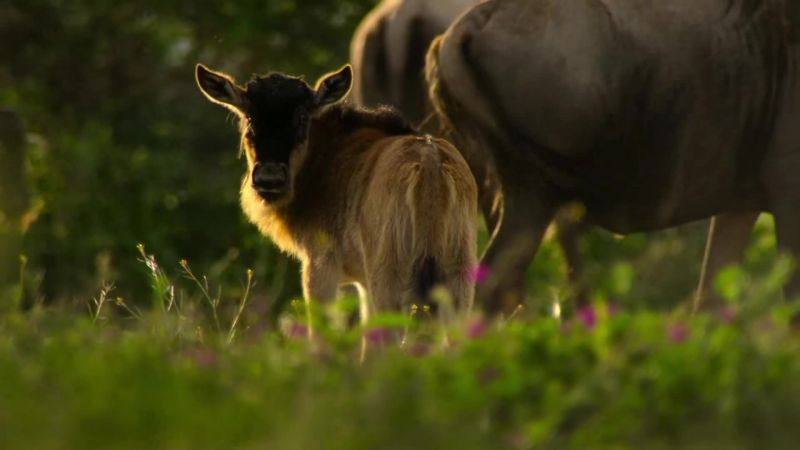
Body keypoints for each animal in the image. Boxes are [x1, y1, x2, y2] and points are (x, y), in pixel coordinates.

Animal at [195, 63, 478, 335]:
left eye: (301, 116)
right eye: (250, 116)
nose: (269, 178)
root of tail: (430, 164)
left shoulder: (320, 266)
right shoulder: (362, 282)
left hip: (391, 280)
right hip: (457, 281)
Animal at [427, 0, 800, 315]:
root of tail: (465, 28)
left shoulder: (741, 205)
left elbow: (709, 300)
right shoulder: (786, 199)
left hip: (526, 201)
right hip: (535, 196)